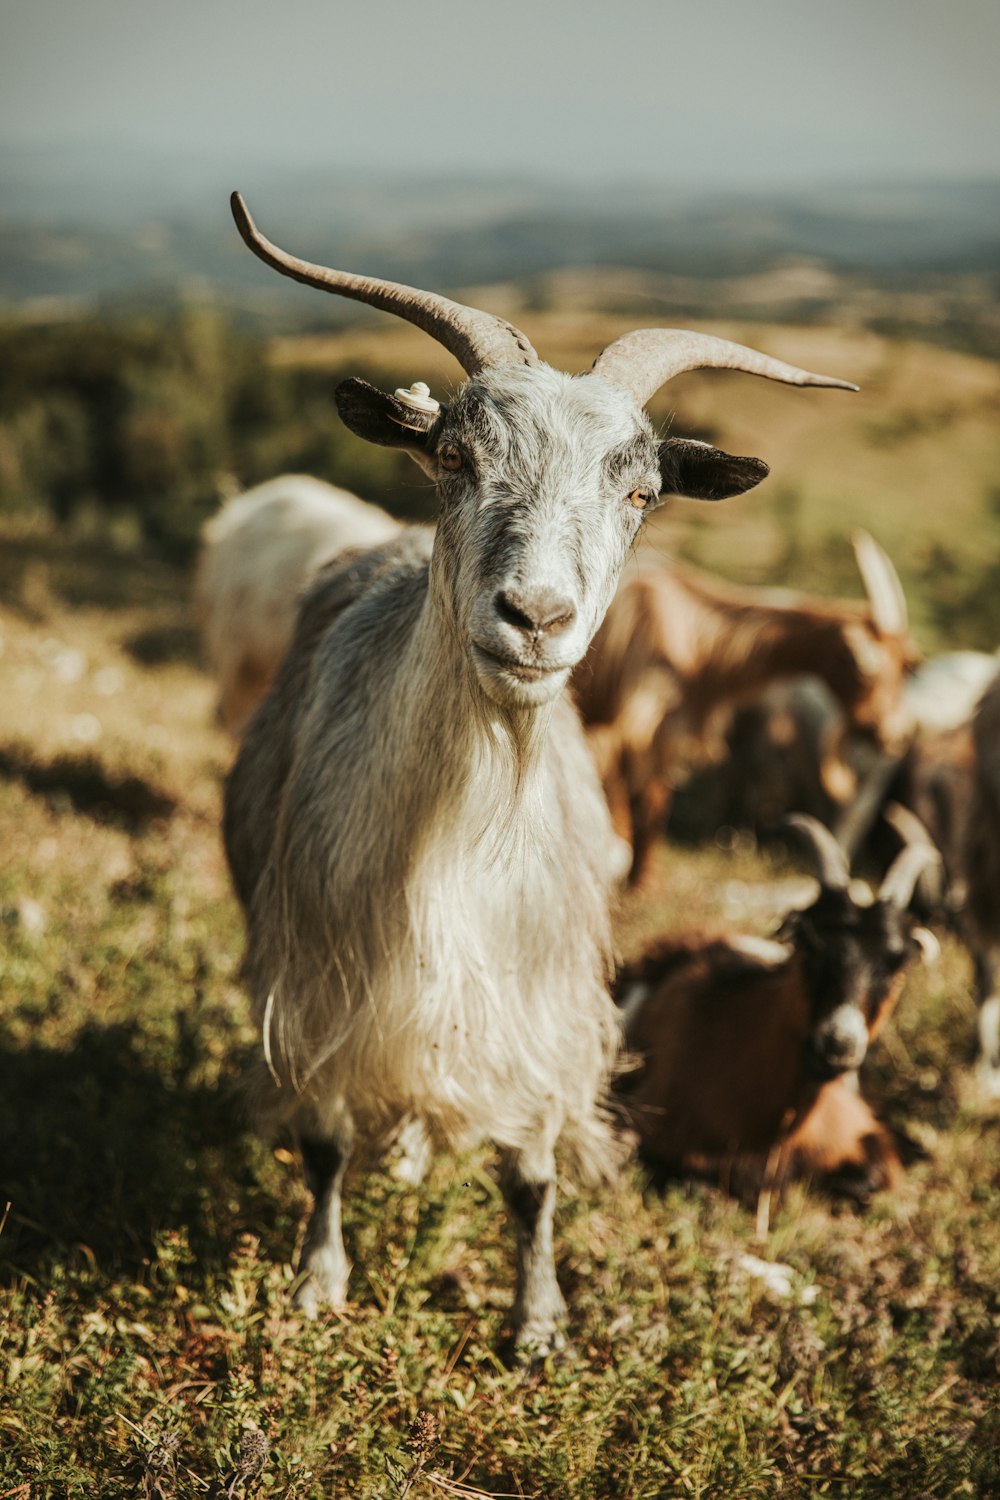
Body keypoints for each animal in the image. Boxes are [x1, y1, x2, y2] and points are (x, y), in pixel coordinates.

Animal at [223, 190, 857, 1362]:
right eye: (454, 458)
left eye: (643, 493)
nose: (537, 617)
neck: (461, 829)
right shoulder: (321, 974)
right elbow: (325, 1140)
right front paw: (318, 1282)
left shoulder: (540, 1001)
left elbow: (529, 1175)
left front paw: (539, 1322)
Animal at [575, 534, 917, 882]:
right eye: (868, 671)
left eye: (906, 667)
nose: (898, 733)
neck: (695, 643)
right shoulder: (636, 723)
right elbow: (641, 799)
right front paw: (639, 881)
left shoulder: (666, 728)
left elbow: (653, 799)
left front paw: (641, 876)